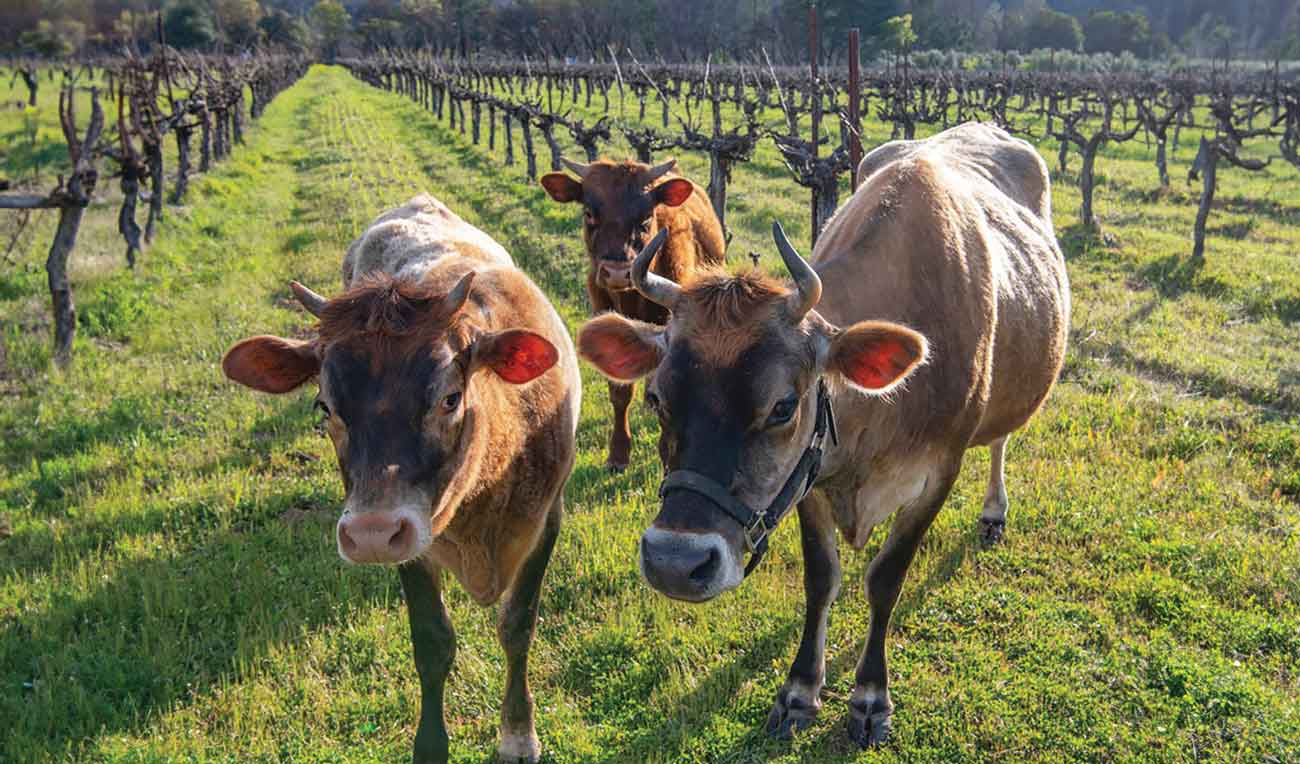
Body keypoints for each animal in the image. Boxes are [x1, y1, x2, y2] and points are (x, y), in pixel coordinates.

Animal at [221, 194, 581, 764]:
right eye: (324, 407)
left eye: (450, 397)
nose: (370, 534)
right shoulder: (412, 541)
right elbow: (432, 642)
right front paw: (431, 744)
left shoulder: (546, 520)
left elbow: (517, 624)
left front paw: (518, 734)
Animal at [576, 123, 1070, 748]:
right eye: (657, 398)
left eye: (784, 406)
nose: (674, 562)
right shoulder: (809, 479)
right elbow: (821, 579)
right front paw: (799, 689)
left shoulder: (940, 471)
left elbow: (886, 579)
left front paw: (870, 697)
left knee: (1002, 440)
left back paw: (993, 512)